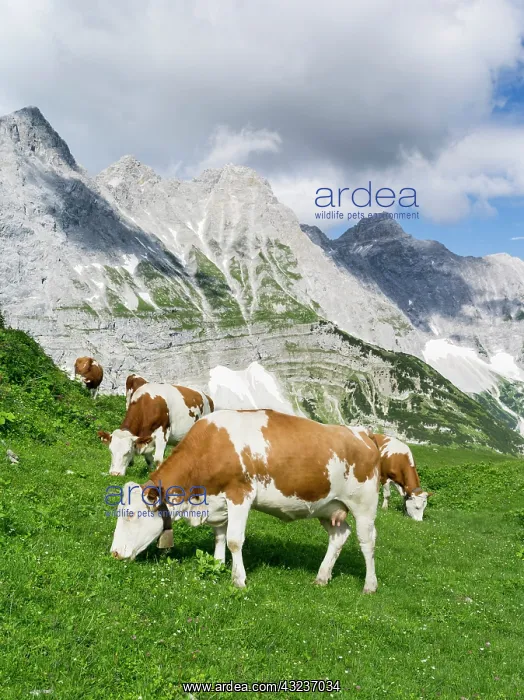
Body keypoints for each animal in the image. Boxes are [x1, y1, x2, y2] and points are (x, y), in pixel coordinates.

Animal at [109, 411, 381, 593]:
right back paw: (322, 577)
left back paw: (370, 585)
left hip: (364, 506)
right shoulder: (216, 501)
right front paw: (218, 565)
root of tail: (363, 434)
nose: (114, 554)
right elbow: (219, 536)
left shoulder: (240, 494)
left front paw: (238, 579)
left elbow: (234, 540)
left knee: (367, 542)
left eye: (131, 515)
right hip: (328, 507)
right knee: (339, 536)